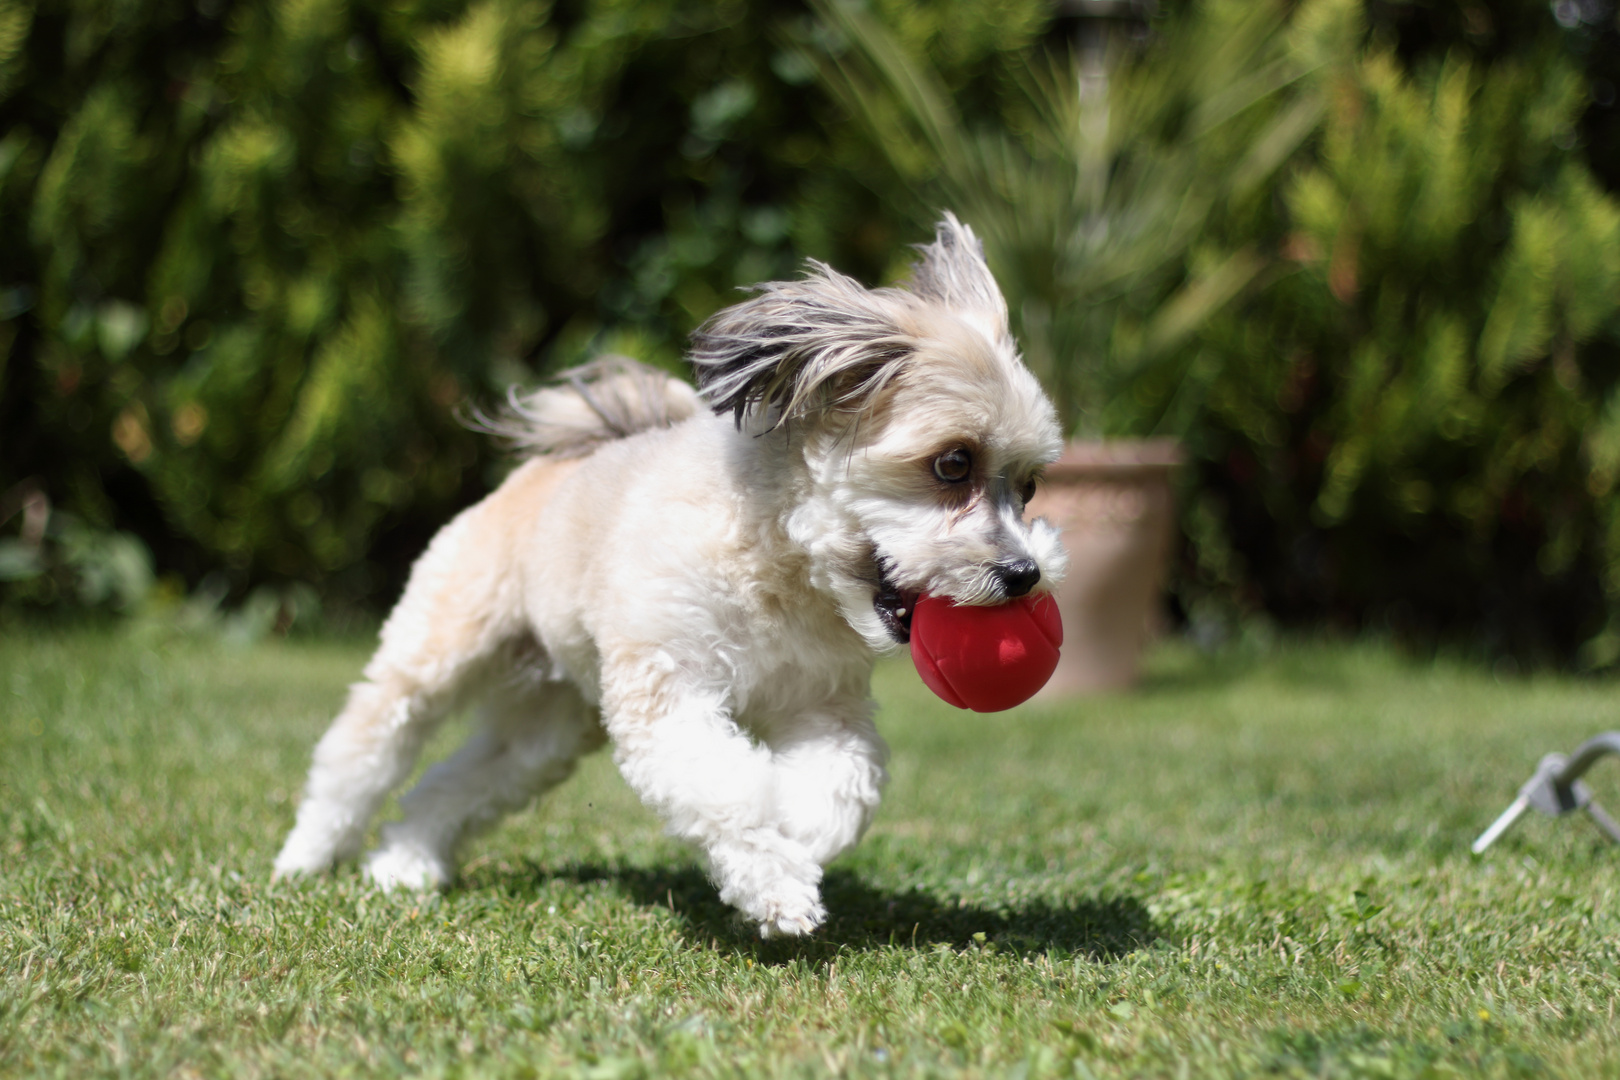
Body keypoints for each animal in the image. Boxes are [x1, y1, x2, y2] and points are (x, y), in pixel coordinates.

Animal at [272, 213, 1069, 939]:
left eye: (1029, 486)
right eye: (953, 463)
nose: (1024, 573)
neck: (780, 568)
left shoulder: (823, 705)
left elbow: (844, 784)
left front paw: (799, 835)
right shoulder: (668, 693)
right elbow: (730, 788)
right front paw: (776, 887)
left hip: (547, 729)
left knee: (455, 783)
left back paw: (405, 865)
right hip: (438, 653)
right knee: (362, 751)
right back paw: (307, 859)